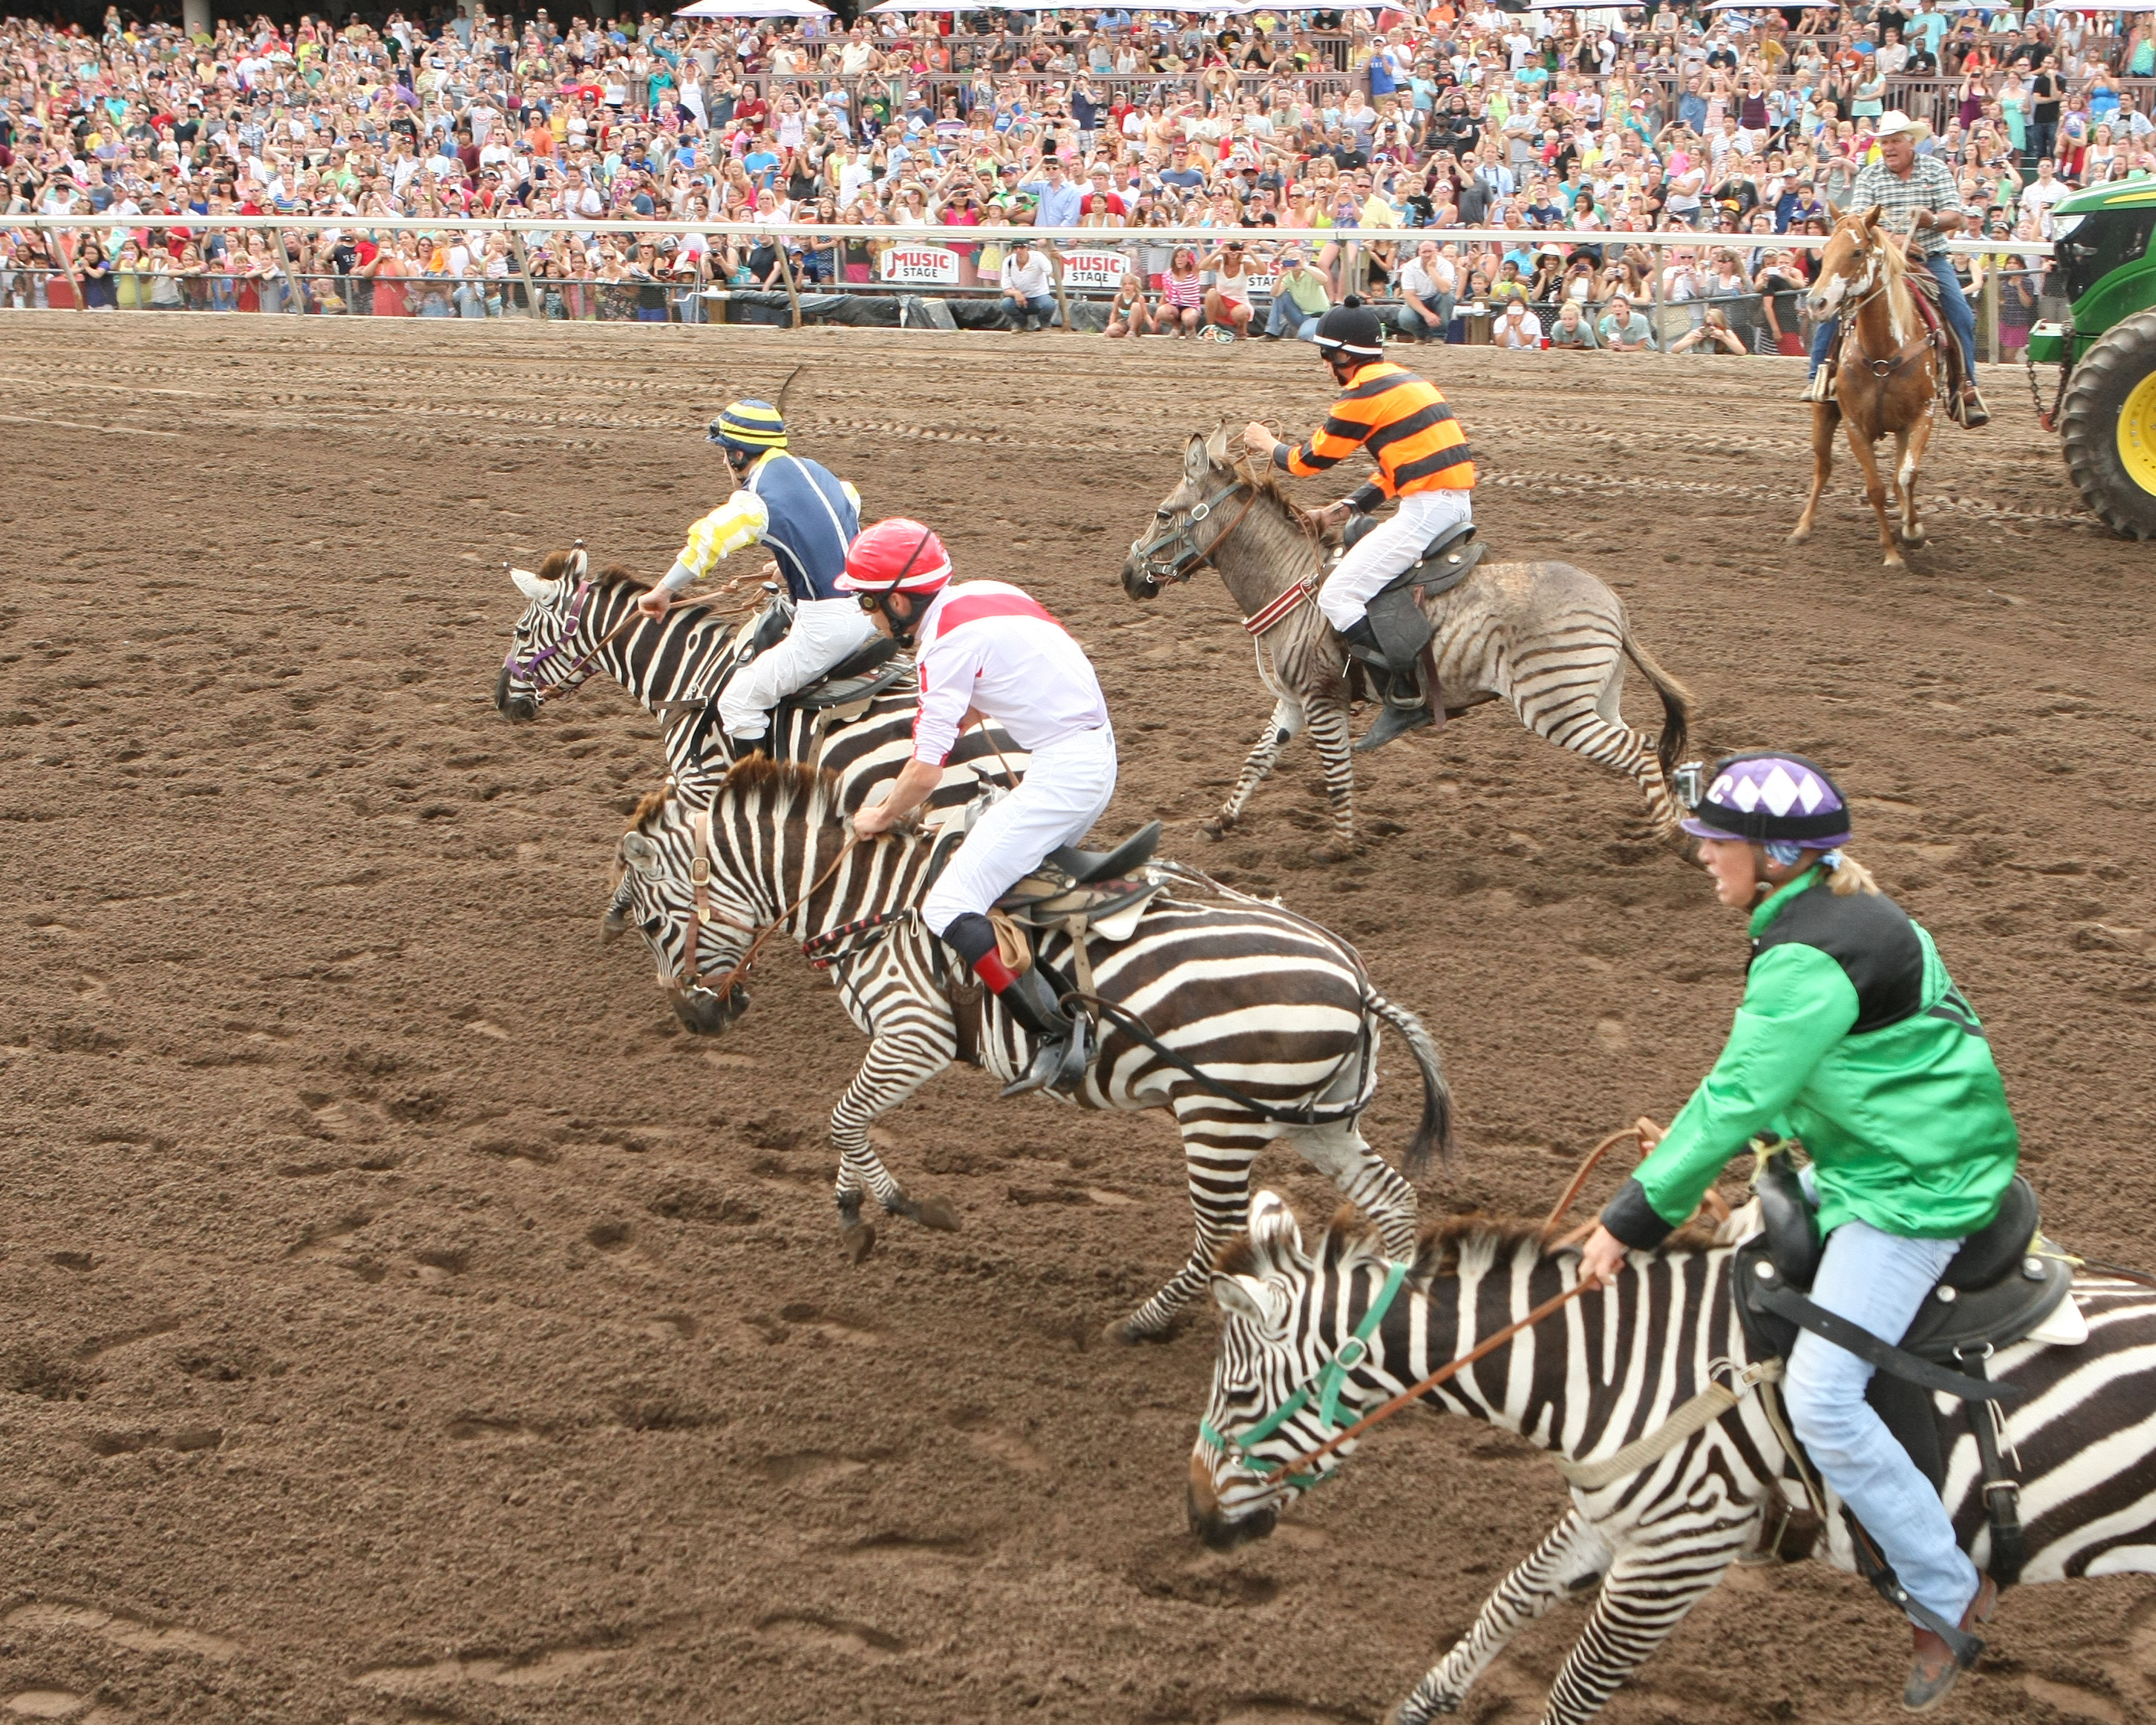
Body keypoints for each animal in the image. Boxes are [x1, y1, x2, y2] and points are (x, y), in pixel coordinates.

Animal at [608, 763, 1448, 1337]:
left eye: (651, 923)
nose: (693, 1017)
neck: (874, 902)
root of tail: (1356, 982)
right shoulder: (896, 1042)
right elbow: (852, 1122)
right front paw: (859, 1207)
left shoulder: (913, 1035)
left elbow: (845, 1117)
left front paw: (897, 1205)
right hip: (1310, 1121)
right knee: (1391, 1199)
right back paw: (1384, 1321)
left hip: (1220, 1123)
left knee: (1221, 1235)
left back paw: (1144, 1321)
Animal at [1121, 427, 1690, 862]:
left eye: (1165, 514)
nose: (1128, 576)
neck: (1296, 579)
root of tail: (1613, 606)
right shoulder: (1292, 700)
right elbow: (1258, 759)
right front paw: (1220, 821)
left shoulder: (1322, 698)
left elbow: (1337, 771)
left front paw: (1340, 846)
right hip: (1595, 702)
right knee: (1647, 750)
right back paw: (1685, 827)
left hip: (1556, 709)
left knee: (1640, 752)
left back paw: (1676, 839)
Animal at [1190, 1190, 2156, 1725]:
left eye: (1237, 1399)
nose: (1198, 1519)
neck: (1617, 1364)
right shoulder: (1609, 1516)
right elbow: (1504, 1604)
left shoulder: (1677, 1557)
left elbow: (1576, 1692)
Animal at [1785, 206, 1940, 560]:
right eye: (1826, 249)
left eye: (1857, 252)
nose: (1816, 304)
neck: (1884, 352)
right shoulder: (1855, 425)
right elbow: (1876, 489)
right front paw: (1892, 554)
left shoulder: (1922, 416)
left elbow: (1907, 476)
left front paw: (1914, 531)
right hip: (1824, 416)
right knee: (1823, 467)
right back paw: (1802, 528)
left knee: (1899, 476)